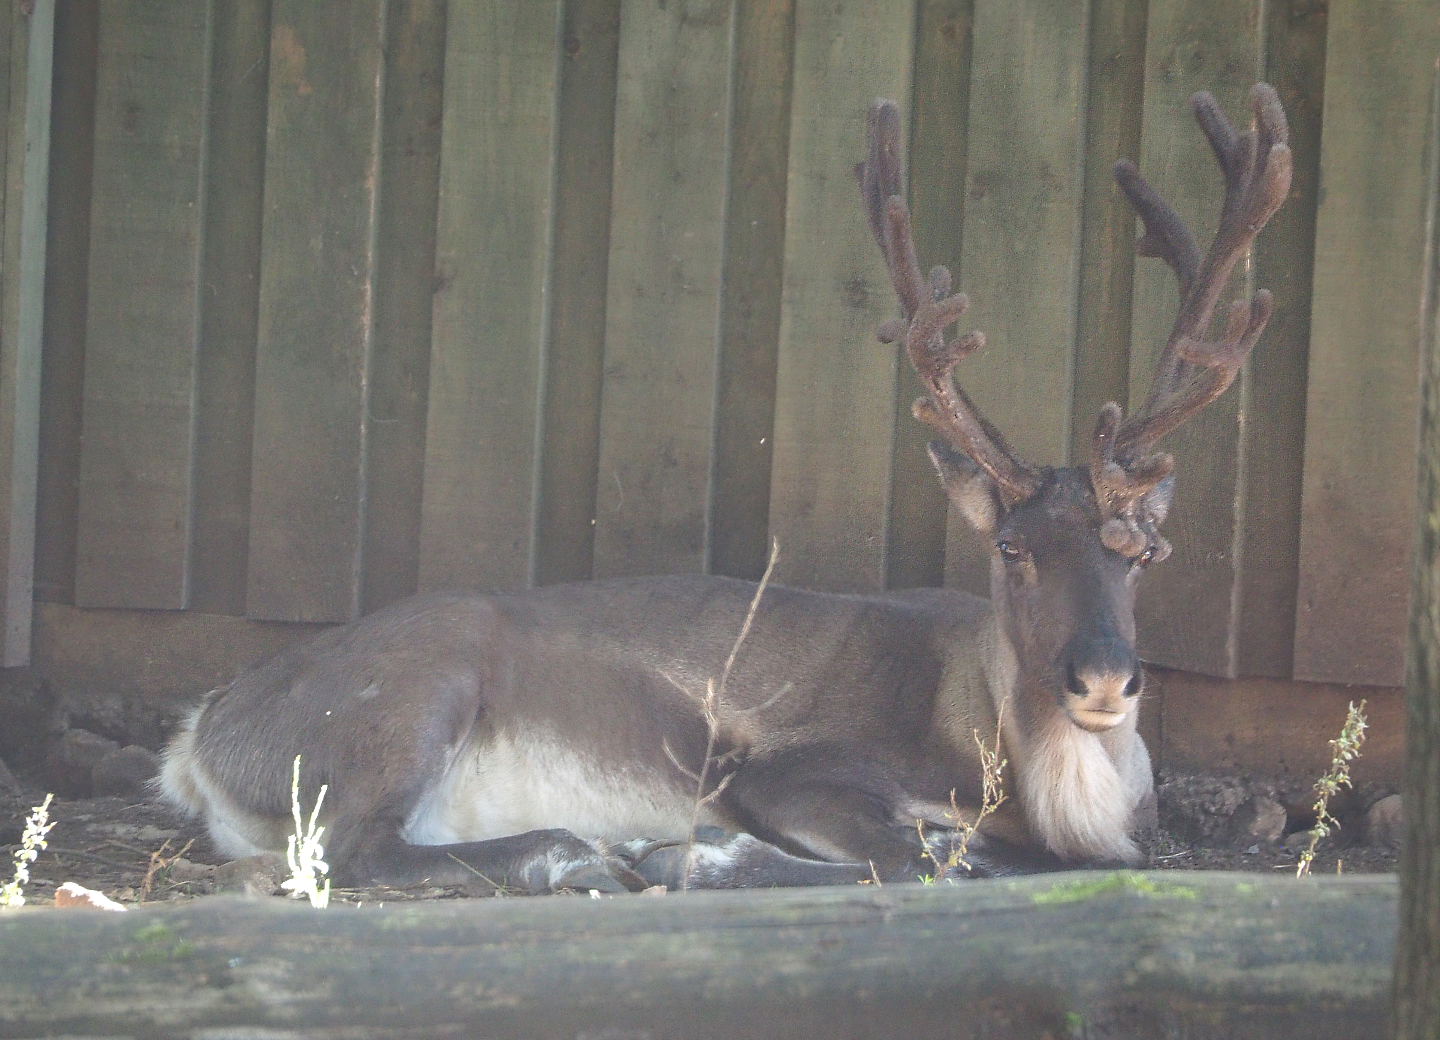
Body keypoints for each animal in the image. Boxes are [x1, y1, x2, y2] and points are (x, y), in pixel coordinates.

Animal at [158, 84, 1291, 894]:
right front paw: (686, 854)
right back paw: (574, 853)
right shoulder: (791, 765)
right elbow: (919, 855)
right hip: (410, 688)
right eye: (1012, 548)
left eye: (1142, 550)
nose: (1103, 677)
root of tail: (200, 741)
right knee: (353, 846)